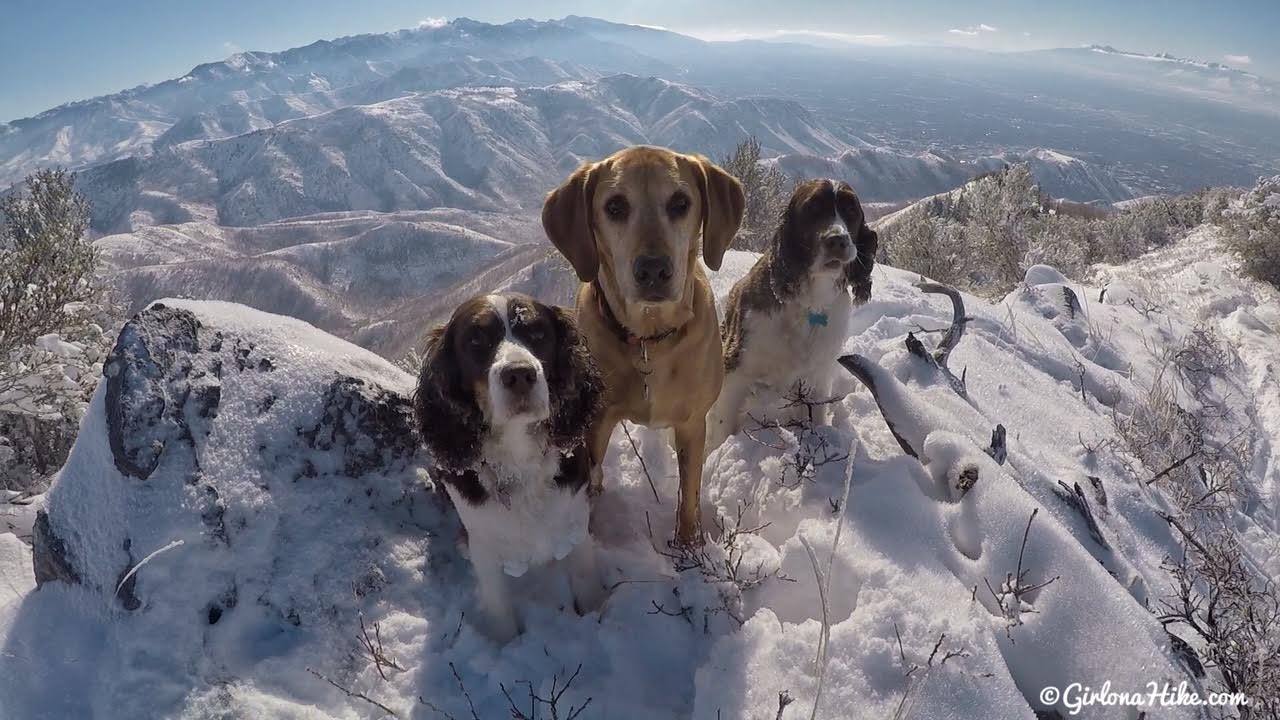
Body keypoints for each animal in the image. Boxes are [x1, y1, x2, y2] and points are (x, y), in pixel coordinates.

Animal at [414, 292, 604, 638]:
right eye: (475, 341)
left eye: (538, 333)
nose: (519, 374)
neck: (518, 453)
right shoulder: (483, 542)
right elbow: (498, 605)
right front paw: (506, 643)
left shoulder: (574, 518)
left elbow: (586, 579)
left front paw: (599, 616)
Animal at [542, 142, 747, 540]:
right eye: (615, 207)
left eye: (681, 202)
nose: (653, 269)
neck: (649, 341)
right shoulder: (597, 421)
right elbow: (592, 479)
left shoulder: (692, 423)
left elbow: (689, 494)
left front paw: (689, 544)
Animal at [711, 179, 880, 448]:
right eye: (813, 208)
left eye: (851, 211)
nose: (838, 241)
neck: (810, 303)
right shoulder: (737, 368)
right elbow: (720, 426)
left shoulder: (819, 375)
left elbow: (817, 415)